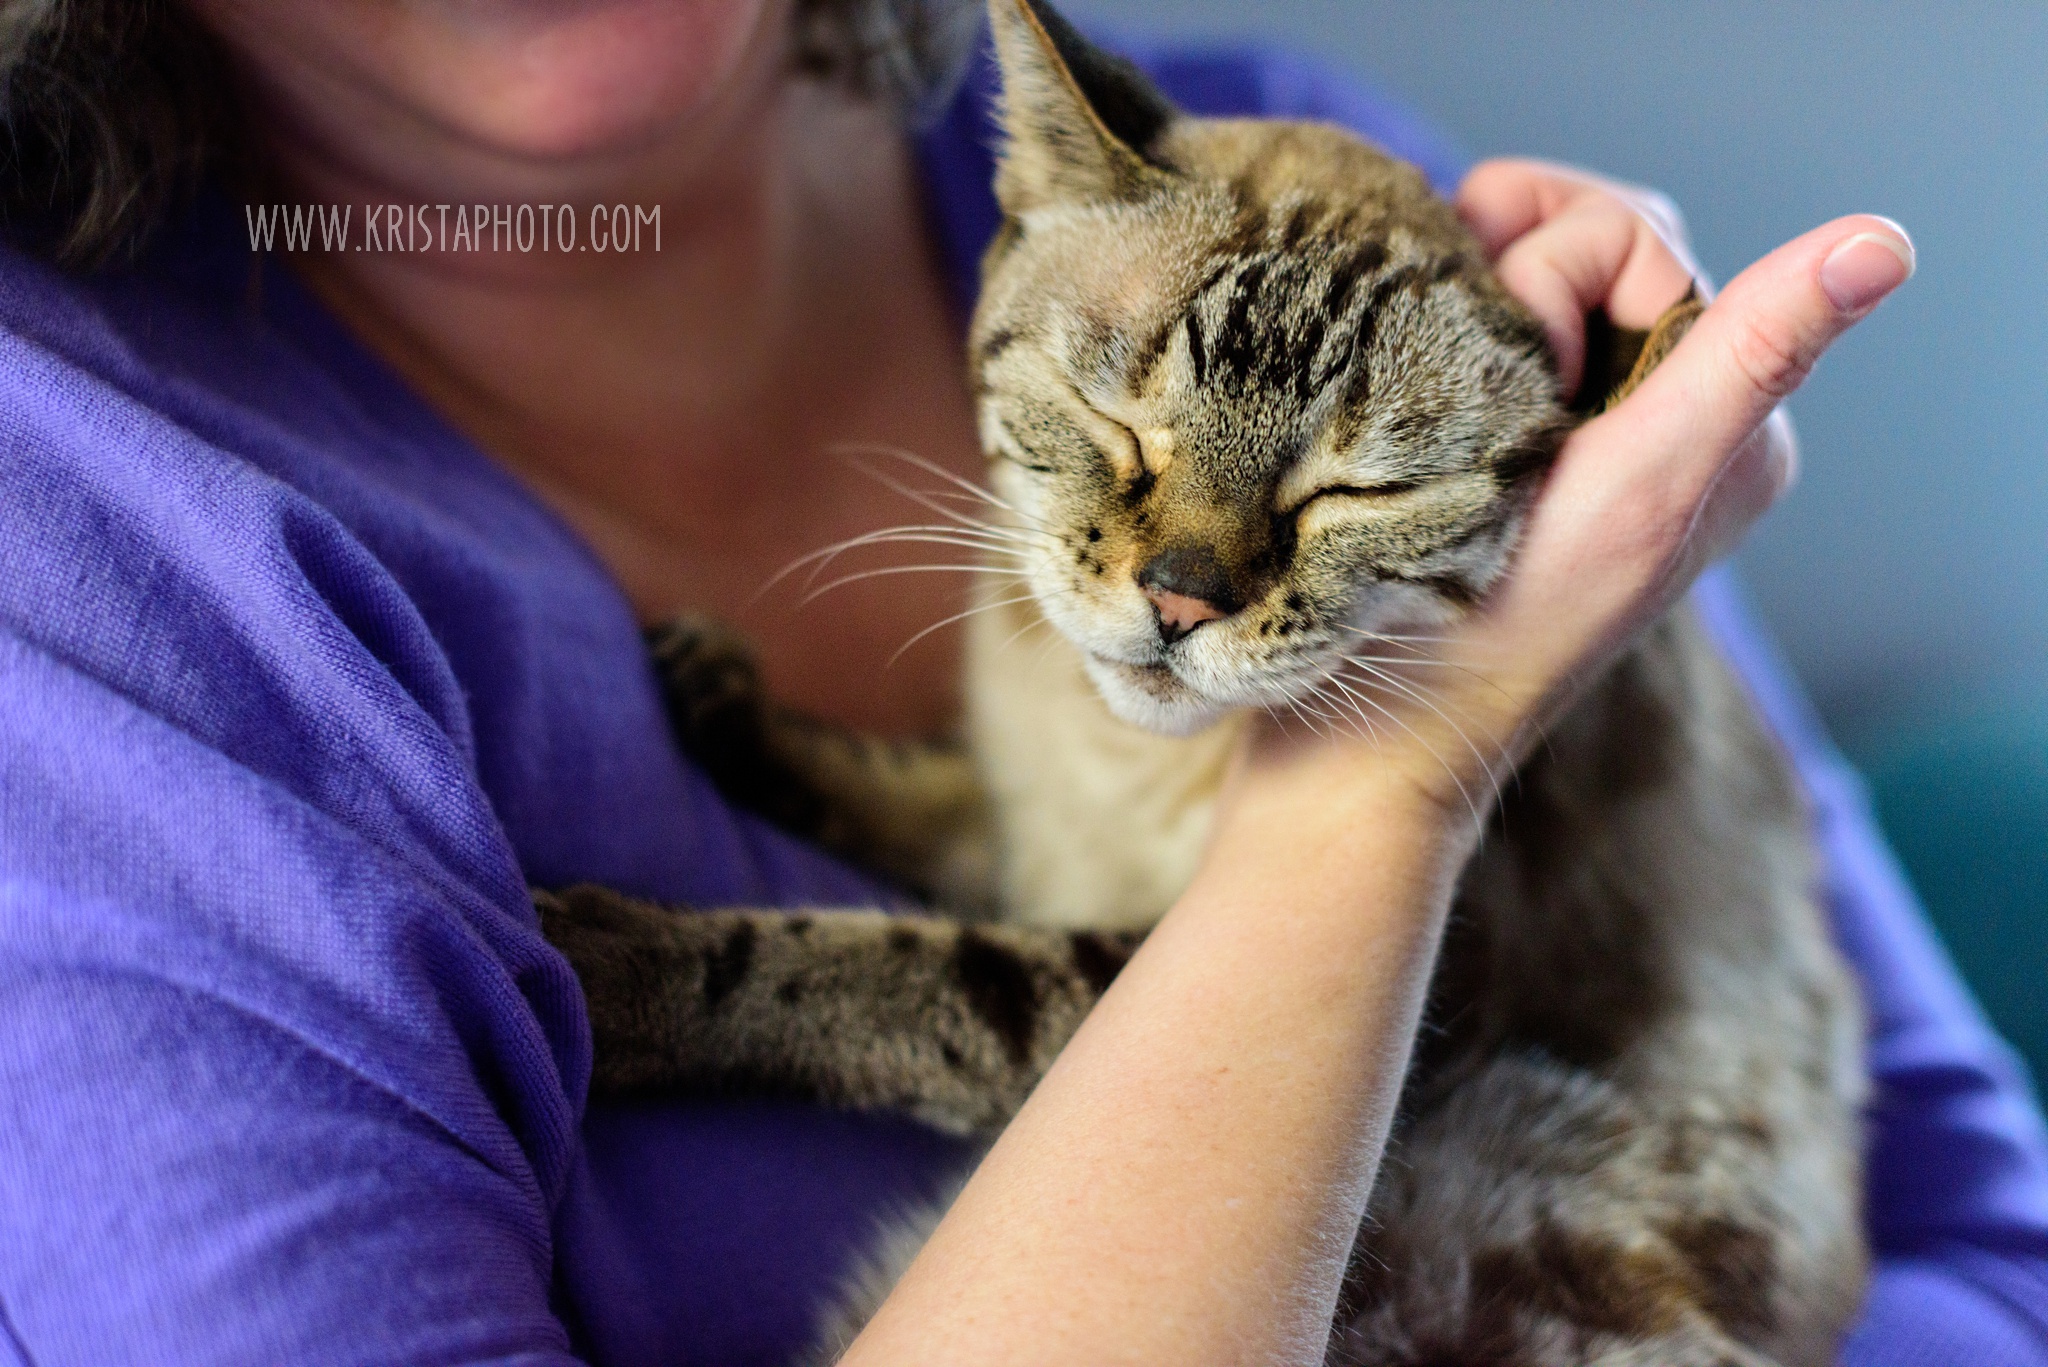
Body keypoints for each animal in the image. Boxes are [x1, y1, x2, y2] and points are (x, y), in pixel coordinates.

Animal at [532, 5, 1875, 1360]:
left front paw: (613, 965)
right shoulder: (1021, 824)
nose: (1180, 599)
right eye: (1116, 422)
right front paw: (725, 705)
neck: (1114, 755)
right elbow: (906, 799)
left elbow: (894, 969)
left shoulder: (1147, 979)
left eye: (1352, 493)